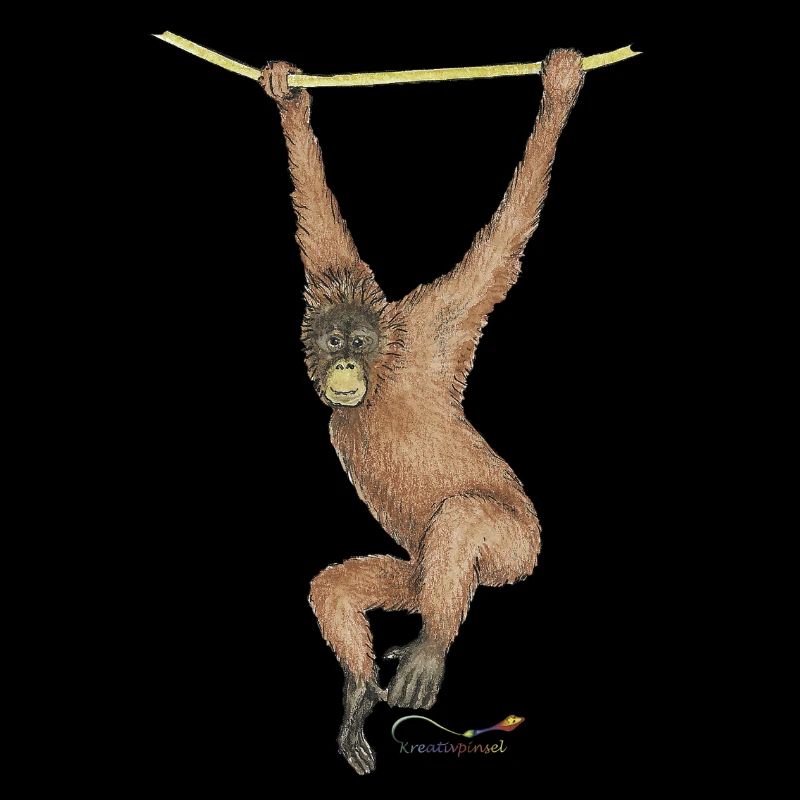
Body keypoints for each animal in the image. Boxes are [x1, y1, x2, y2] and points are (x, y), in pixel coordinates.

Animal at [260, 49, 585, 775]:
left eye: (357, 343)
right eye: (333, 343)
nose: (343, 367)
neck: (382, 382)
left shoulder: (431, 326)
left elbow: (501, 245)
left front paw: (558, 92)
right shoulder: (353, 290)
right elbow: (317, 221)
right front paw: (289, 102)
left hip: (517, 548)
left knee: (463, 518)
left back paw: (432, 647)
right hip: (416, 577)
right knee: (341, 589)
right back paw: (360, 691)